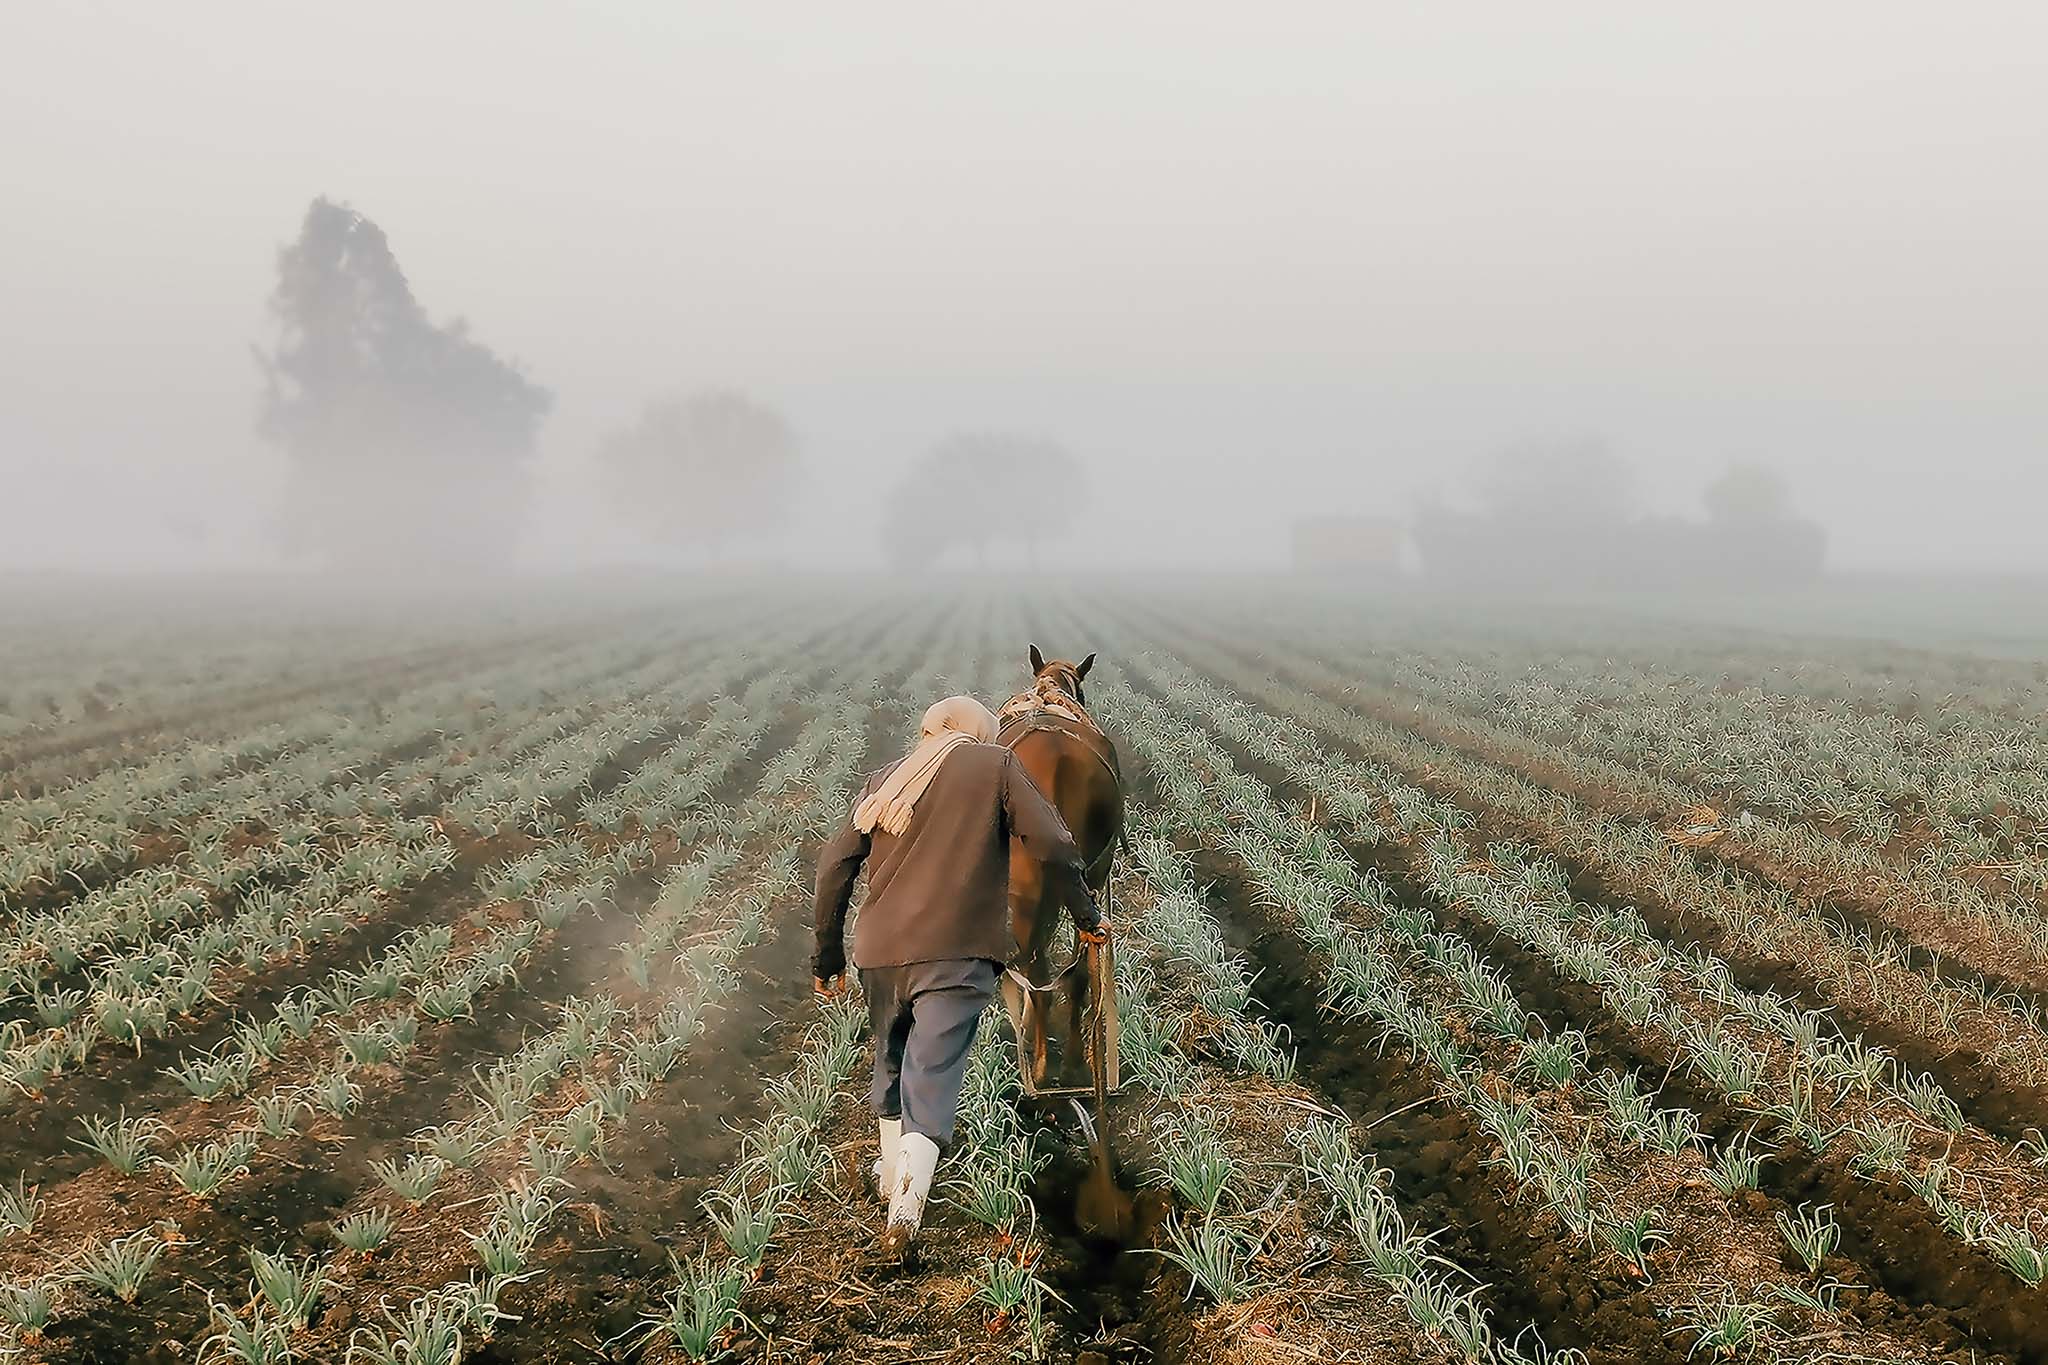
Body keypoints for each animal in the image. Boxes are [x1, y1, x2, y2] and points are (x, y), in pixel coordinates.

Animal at [1003, 650, 1130, 1088]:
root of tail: (1058, 763)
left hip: (1027, 892)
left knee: (1036, 970)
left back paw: (1039, 1063)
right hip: (1090, 876)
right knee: (1074, 973)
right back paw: (1075, 1058)